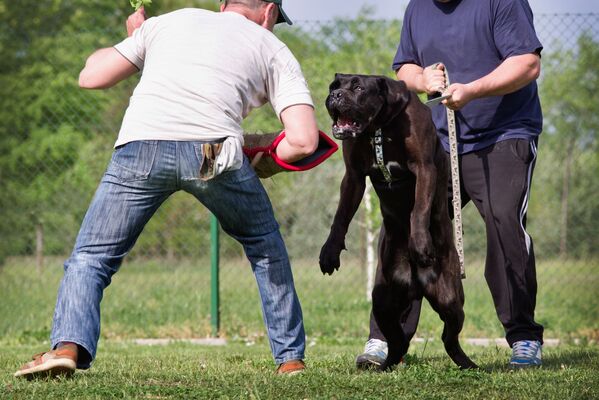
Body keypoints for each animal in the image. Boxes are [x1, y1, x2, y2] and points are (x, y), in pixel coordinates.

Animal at [318, 74, 478, 368]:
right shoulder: (353, 176)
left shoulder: (424, 168)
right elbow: (340, 217)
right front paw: (330, 251)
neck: (378, 127)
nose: (335, 96)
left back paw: (467, 363)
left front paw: (421, 244)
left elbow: (418, 210)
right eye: (334, 87)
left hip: (449, 298)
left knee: (449, 336)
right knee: (398, 339)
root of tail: (417, 284)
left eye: (358, 88)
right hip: (383, 301)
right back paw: (383, 365)